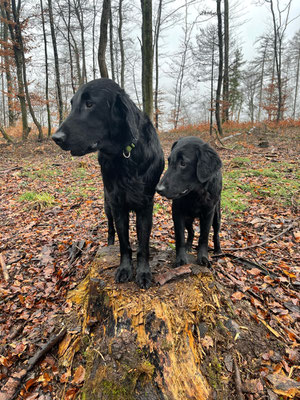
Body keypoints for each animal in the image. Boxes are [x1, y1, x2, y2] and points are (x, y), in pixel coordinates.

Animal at [52, 78, 164, 290]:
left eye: (89, 104)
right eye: (72, 104)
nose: (56, 138)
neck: (126, 154)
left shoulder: (146, 205)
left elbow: (143, 245)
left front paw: (143, 272)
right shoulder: (117, 204)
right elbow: (124, 243)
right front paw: (125, 269)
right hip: (107, 205)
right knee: (111, 228)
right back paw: (110, 243)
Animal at [156, 137, 221, 268]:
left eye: (183, 163)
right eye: (169, 161)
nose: (158, 189)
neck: (195, 194)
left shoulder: (208, 213)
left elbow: (204, 236)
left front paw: (203, 257)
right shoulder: (177, 213)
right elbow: (180, 237)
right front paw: (181, 258)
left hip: (216, 216)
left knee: (216, 233)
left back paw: (218, 250)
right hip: (187, 219)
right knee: (191, 232)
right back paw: (188, 246)